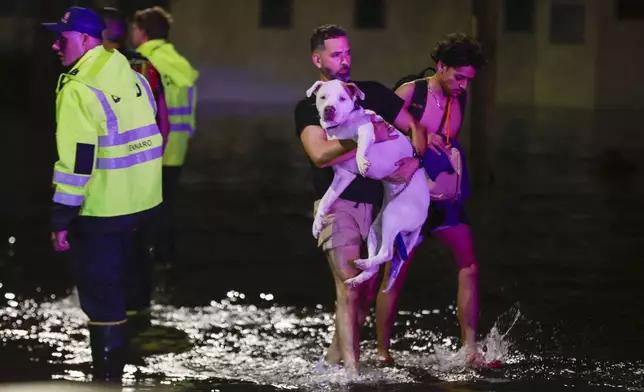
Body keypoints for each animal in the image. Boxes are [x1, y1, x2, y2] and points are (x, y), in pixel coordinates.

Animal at [306, 79, 430, 290]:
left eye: (342, 98)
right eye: (323, 97)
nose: (330, 109)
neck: (342, 127)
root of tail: (423, 218)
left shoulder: (368, 129)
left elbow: (361, 146)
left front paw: (362, 161)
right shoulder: (343, 176)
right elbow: (325, 200)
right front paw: (317, 224)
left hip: (392, 216)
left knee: (387, 253)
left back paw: (363, 264)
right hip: (377, 228)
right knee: (376, 264)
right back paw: (359, 275)